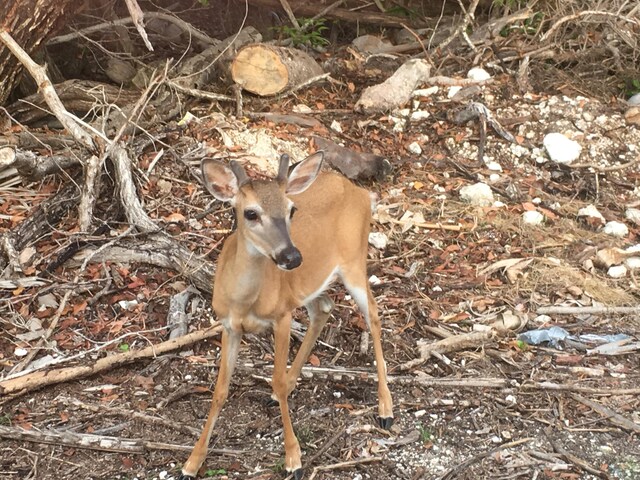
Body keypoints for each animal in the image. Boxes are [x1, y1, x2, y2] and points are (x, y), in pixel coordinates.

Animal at [178, 152, 392, 478]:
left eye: (292, 210)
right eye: (250, 213)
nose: (292, 257)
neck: (245, 301)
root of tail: (358, 190)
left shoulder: (281, 316)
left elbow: (275, 378)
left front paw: (294, 459)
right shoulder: (229, 326)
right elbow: (220, 390)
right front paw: (192, 461)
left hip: (354, 259)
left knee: (375, 316)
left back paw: (385, 410)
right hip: (310, 286)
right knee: (324, 308)